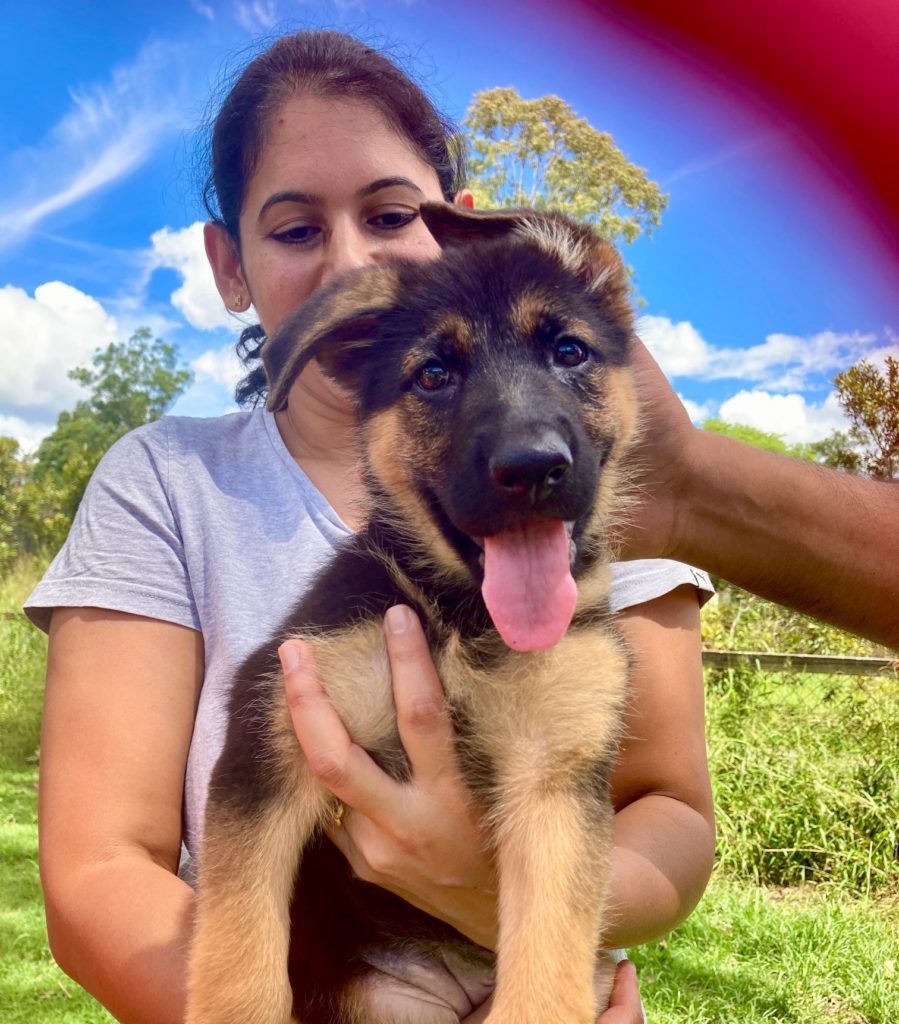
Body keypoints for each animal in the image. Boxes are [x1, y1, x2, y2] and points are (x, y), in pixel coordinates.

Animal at [188, 203, 638, 1024]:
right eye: (434, 374)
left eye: (568, 352)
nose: (533, 468)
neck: (464, 619)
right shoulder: (271, 750)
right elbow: (238, 961)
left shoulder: (557, 787)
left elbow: (545, 972)